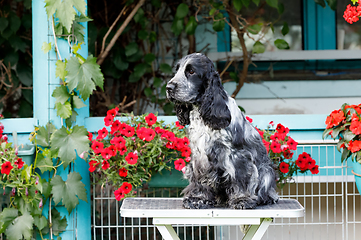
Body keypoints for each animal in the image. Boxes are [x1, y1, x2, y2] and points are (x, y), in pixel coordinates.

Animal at [166, 52, 278, 208]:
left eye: (191, 71)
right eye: (177, 70)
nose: (168, 87)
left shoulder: (237, 155)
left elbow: (240, 178)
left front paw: (241, 199)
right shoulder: (199, 156)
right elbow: (200, 180)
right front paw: (197, 198)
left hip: (266, 171)